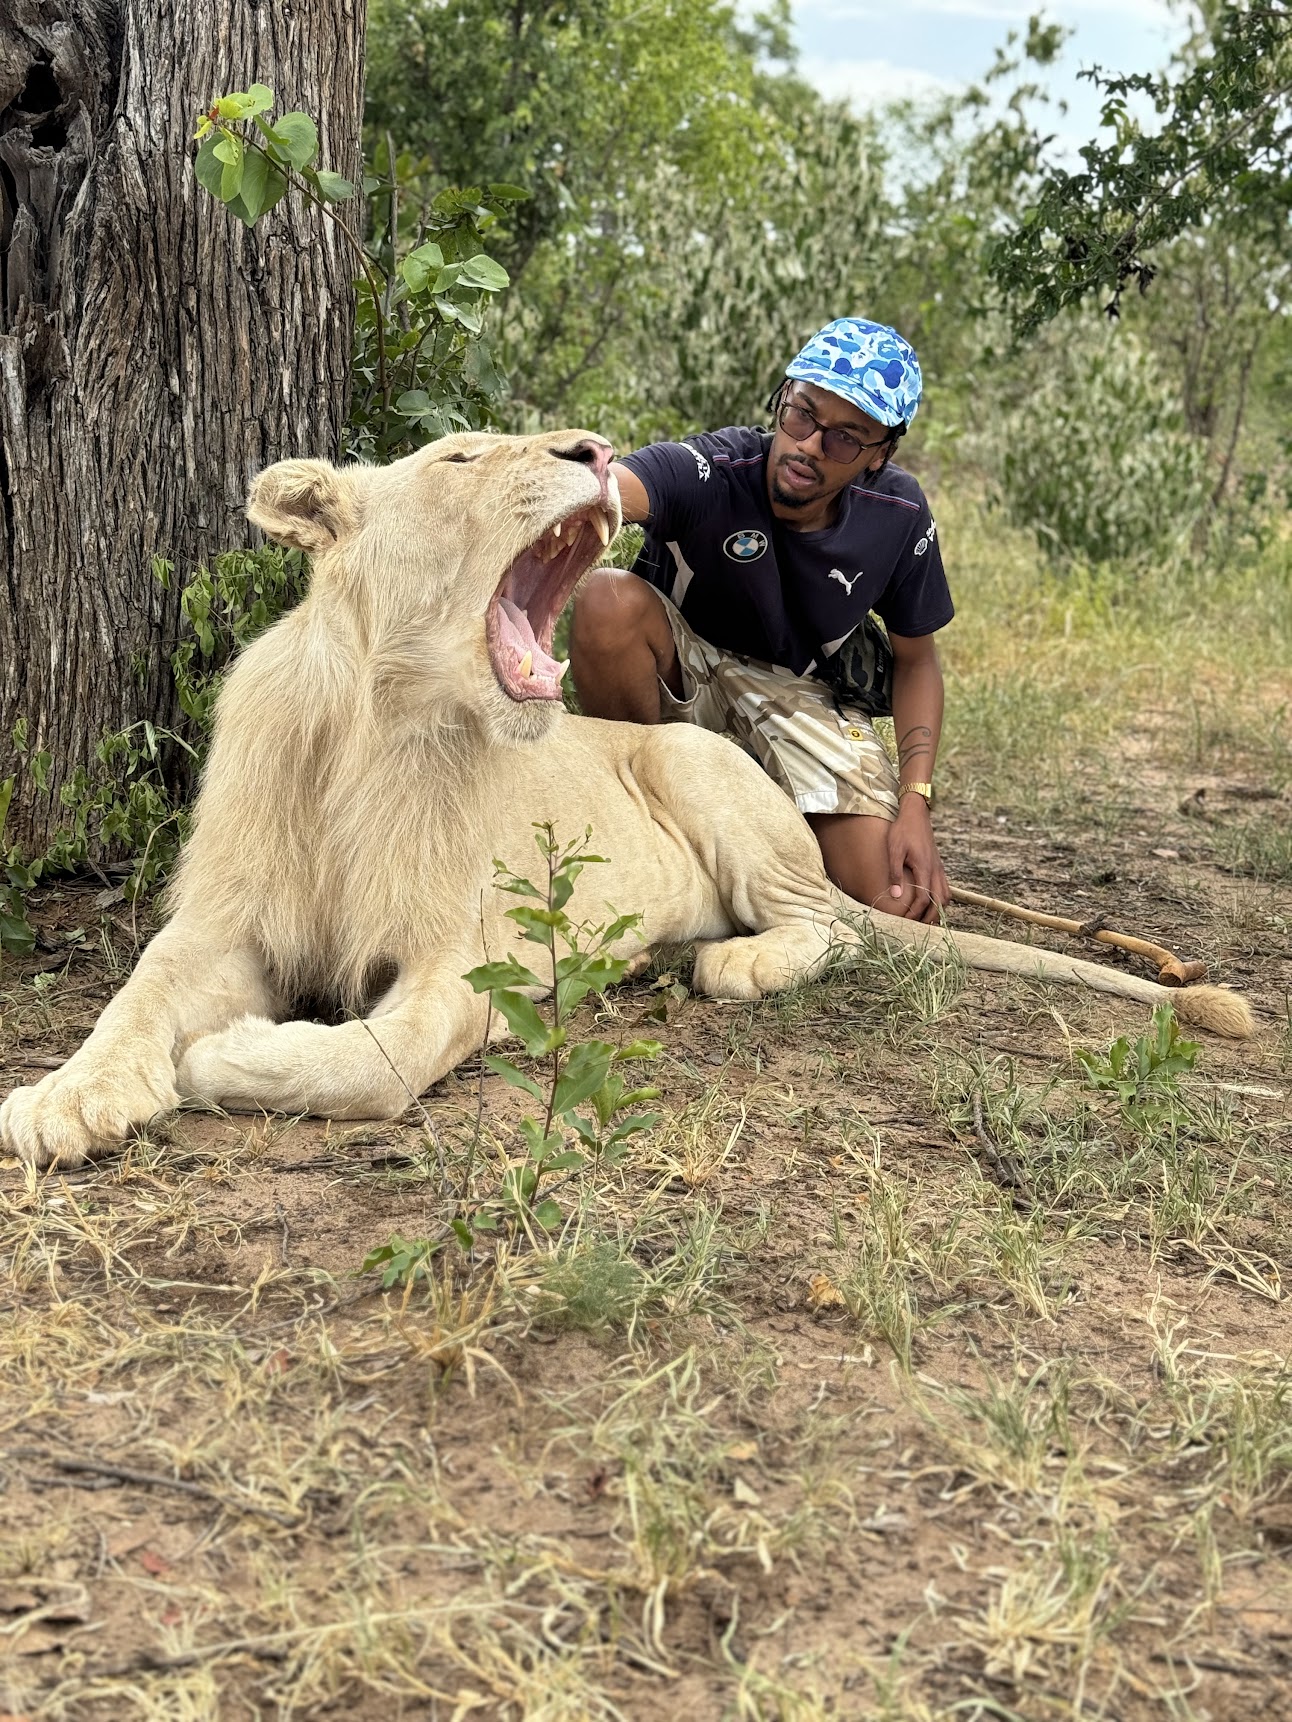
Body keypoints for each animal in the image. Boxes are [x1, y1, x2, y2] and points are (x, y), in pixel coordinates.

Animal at [0, 429, 1253, 1169]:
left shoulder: (472, 959)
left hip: (703, 770)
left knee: (829, 928)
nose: (596, 448)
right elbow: (134, 997)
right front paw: (64, 1098)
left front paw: (219, 1058)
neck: (380, 727)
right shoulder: (226, 917)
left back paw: (723, 964)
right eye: (457, 455)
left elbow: (373, 1061)